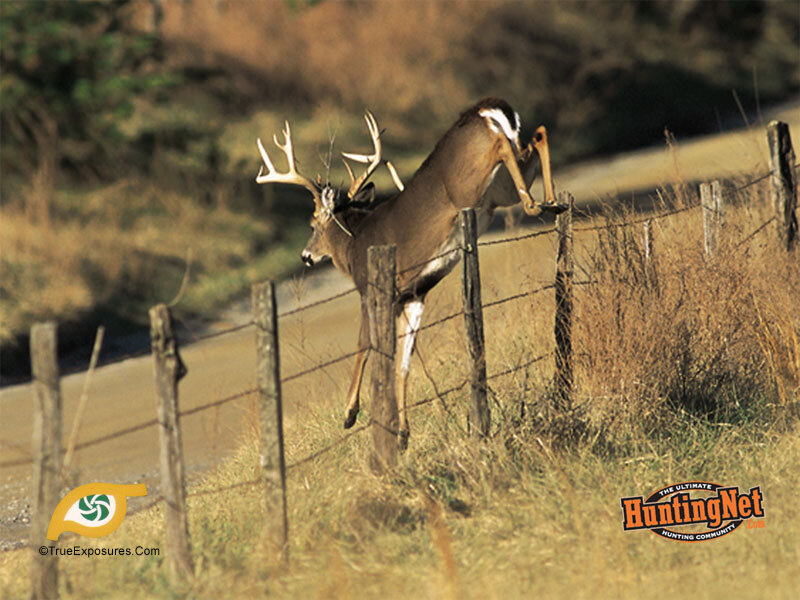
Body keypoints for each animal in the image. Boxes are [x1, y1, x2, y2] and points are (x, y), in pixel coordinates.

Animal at [255, 97, 563, 449]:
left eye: (311, 223)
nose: (305, 257)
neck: (354, 242)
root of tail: (484, 109)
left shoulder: (372, 289)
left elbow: (365, 346)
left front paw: (349, 413)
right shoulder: (412, 295)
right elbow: (403, 363)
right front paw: (402, 434)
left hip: (470, 183)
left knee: (504, 145)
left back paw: (535, 204)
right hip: (499, 190)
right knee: (537, 135)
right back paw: (551, 202)